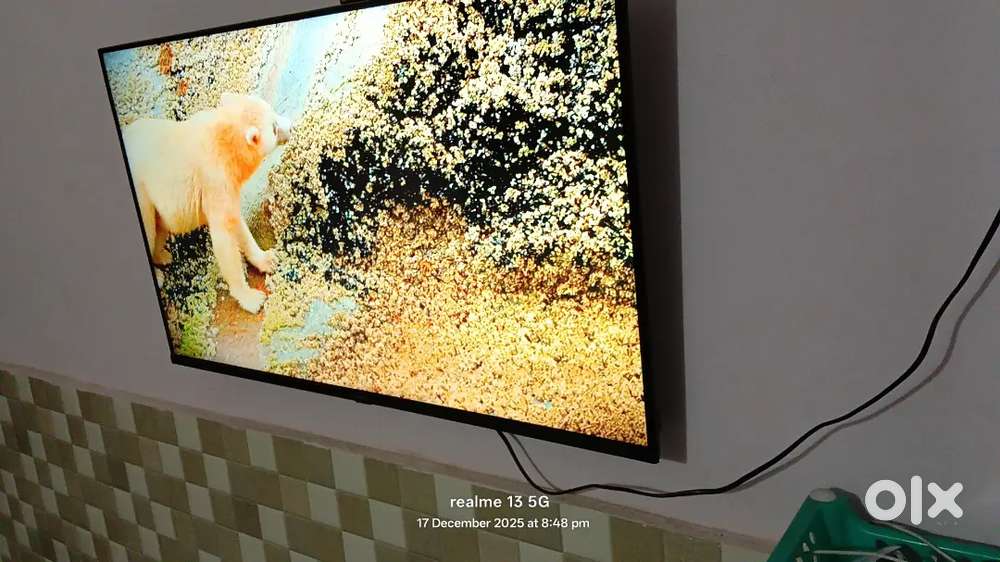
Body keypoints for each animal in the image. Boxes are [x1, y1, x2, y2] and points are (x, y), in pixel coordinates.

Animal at [123, 93, 292, 314]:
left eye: (273, 111)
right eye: (274, 127)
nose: (291, 126)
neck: (222, 138)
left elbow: (236, 222)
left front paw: (269, 259)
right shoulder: (215, 181)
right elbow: (223, 237)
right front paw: (252, 299)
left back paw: (164, 255)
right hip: (143, 191)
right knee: (149, 227)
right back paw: (158, 274)